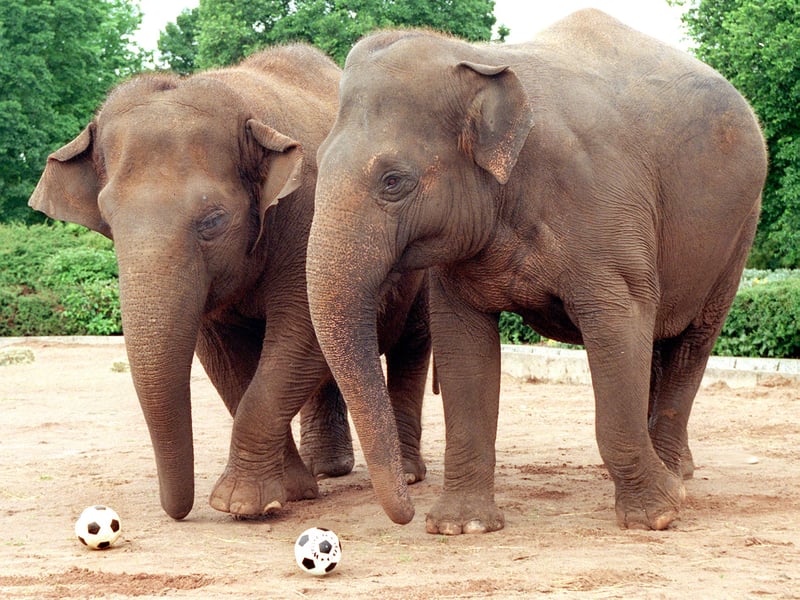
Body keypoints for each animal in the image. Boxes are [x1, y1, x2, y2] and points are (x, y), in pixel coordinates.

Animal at [28, 44, 430, 520]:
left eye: (213, 220)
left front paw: (242, 503)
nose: (178, 512)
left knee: (411, 346)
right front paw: (289, 493)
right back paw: (327, 470)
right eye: (108, 220)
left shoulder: (310, 211)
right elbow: (227, 361)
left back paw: (407, 475)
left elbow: (302, 331)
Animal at [306, 10, 767, 534]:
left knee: (692, 341)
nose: (407, 511)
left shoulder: (603, 208)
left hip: (738, 230)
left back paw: (675, 476)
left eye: (393, 181)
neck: (480, 58)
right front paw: (461, 527)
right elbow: (461, 343)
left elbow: (620, 320)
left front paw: (659, 515)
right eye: (316, 163)